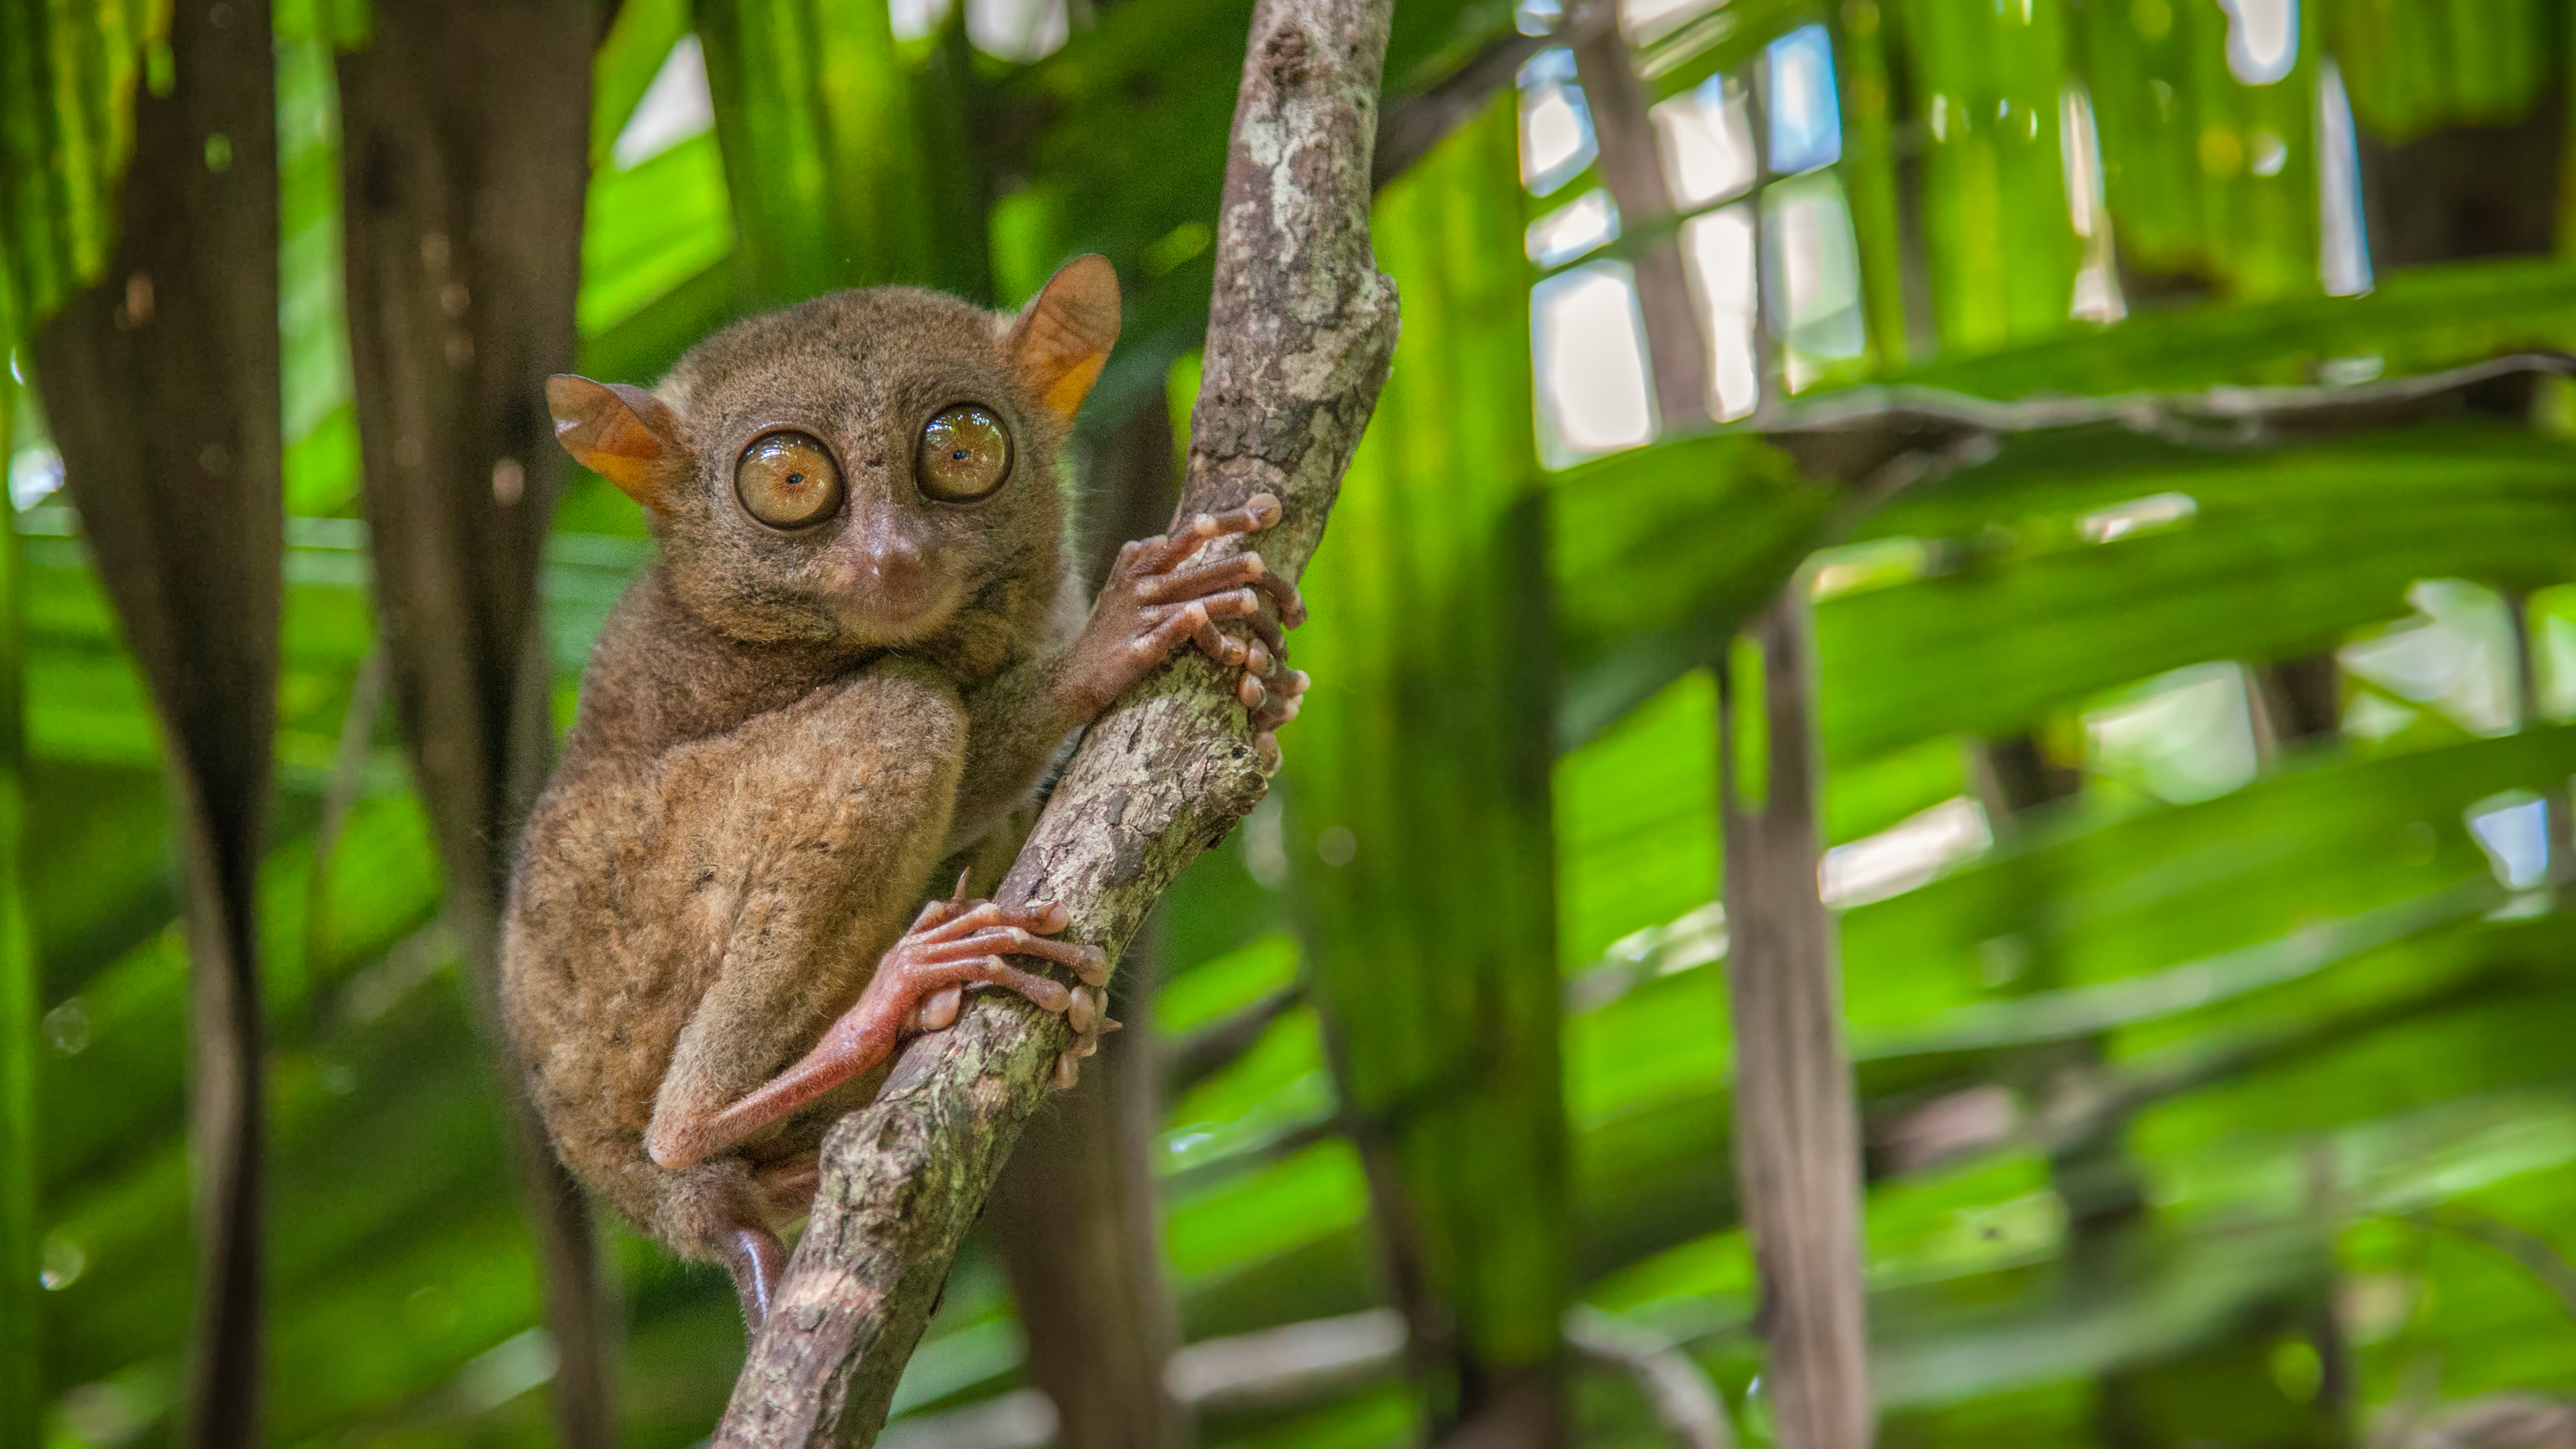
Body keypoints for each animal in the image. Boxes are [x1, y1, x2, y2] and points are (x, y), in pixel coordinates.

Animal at [498, 255, 1306, 1326]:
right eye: (789, 480)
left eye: (963, 450)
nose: (892, 557)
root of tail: (655, 1204)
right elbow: (967, 731)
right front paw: (1118, 631)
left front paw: (1270, 686)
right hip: (636, 954)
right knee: (904, 711)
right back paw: (883, 1004)